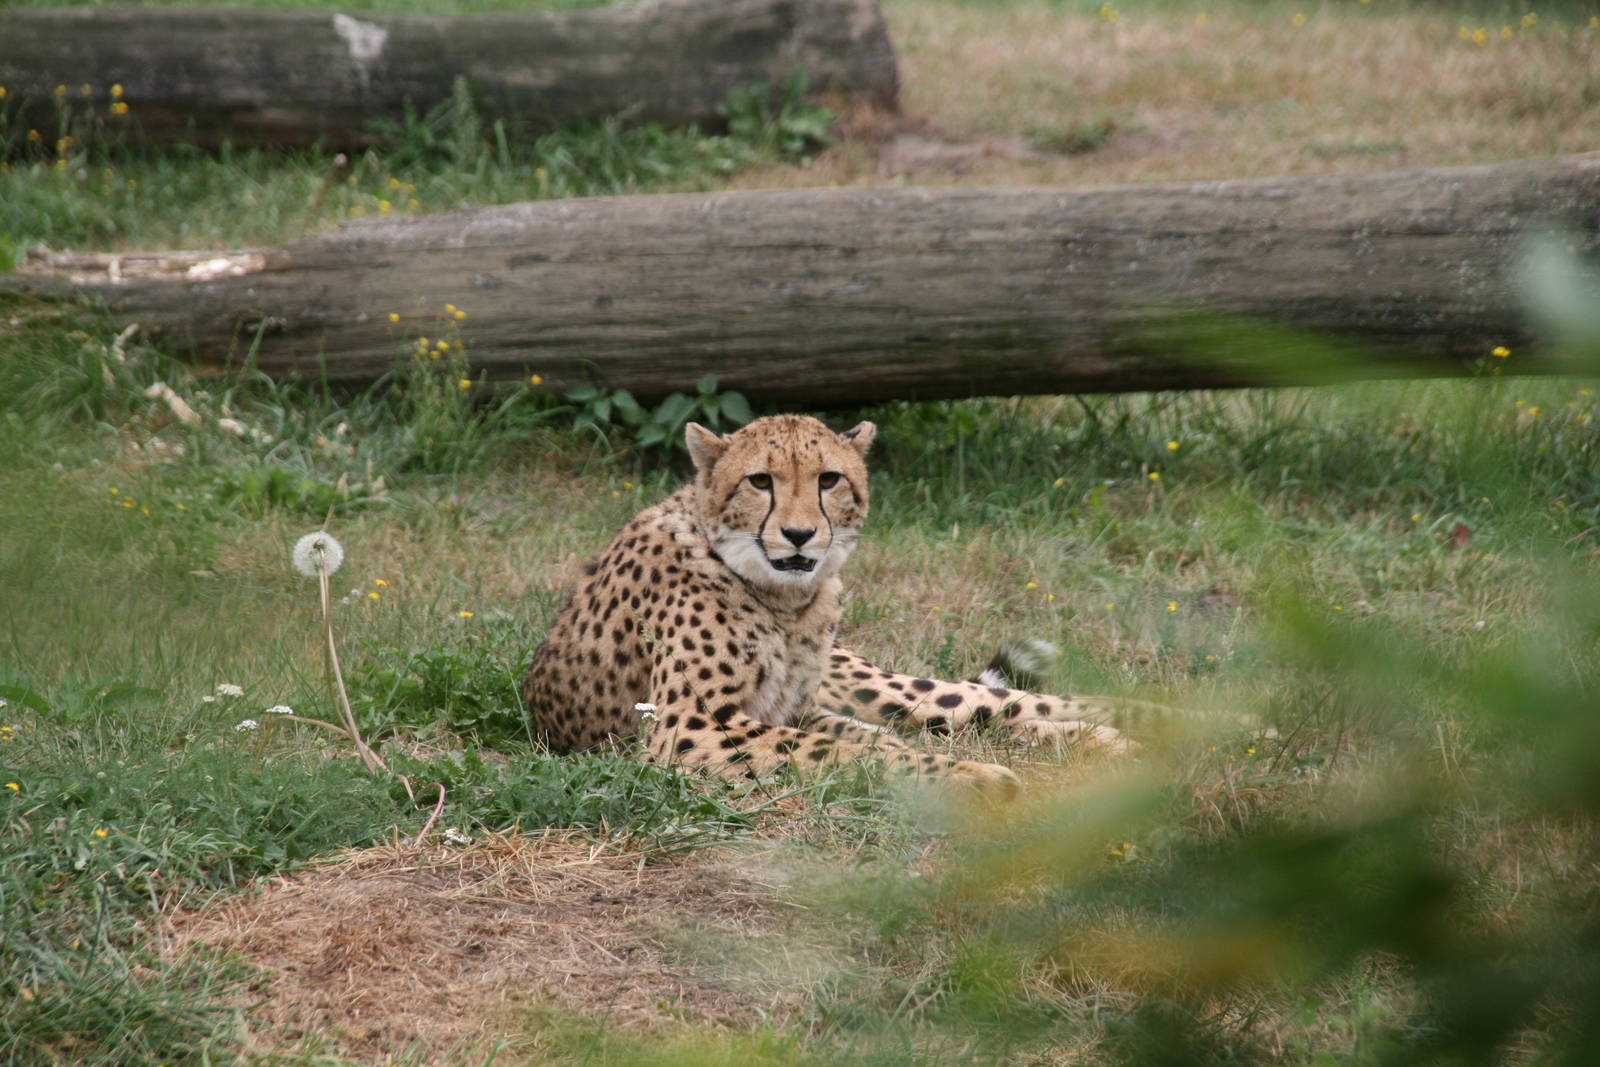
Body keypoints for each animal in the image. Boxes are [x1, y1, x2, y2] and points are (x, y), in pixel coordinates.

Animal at [522, 413, 1131, 795]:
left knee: (987, 703)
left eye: (829, 479)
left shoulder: (783, 711)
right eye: (759, 481)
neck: (784, 600)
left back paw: (1124, 729)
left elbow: (857, 741)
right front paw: (972, 776)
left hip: (876, 687)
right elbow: (853, 748)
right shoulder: (688, 727)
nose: (798, 535)